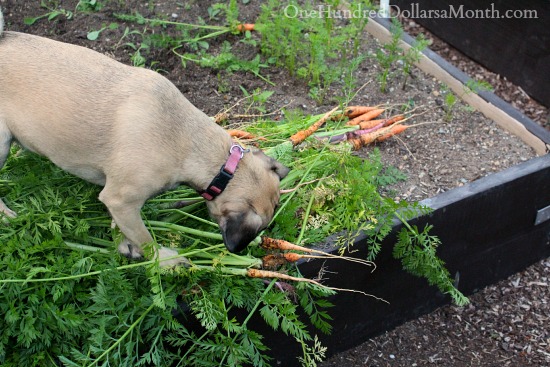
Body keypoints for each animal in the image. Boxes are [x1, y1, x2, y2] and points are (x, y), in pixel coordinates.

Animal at [0, 9, 292, 268]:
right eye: (259, 229)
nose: (240, 249)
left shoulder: (118, 203)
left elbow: (123, 229)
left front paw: (124, 245)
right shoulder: (121, 200)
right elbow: (146, 239)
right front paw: (162, 260)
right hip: (1, 143)